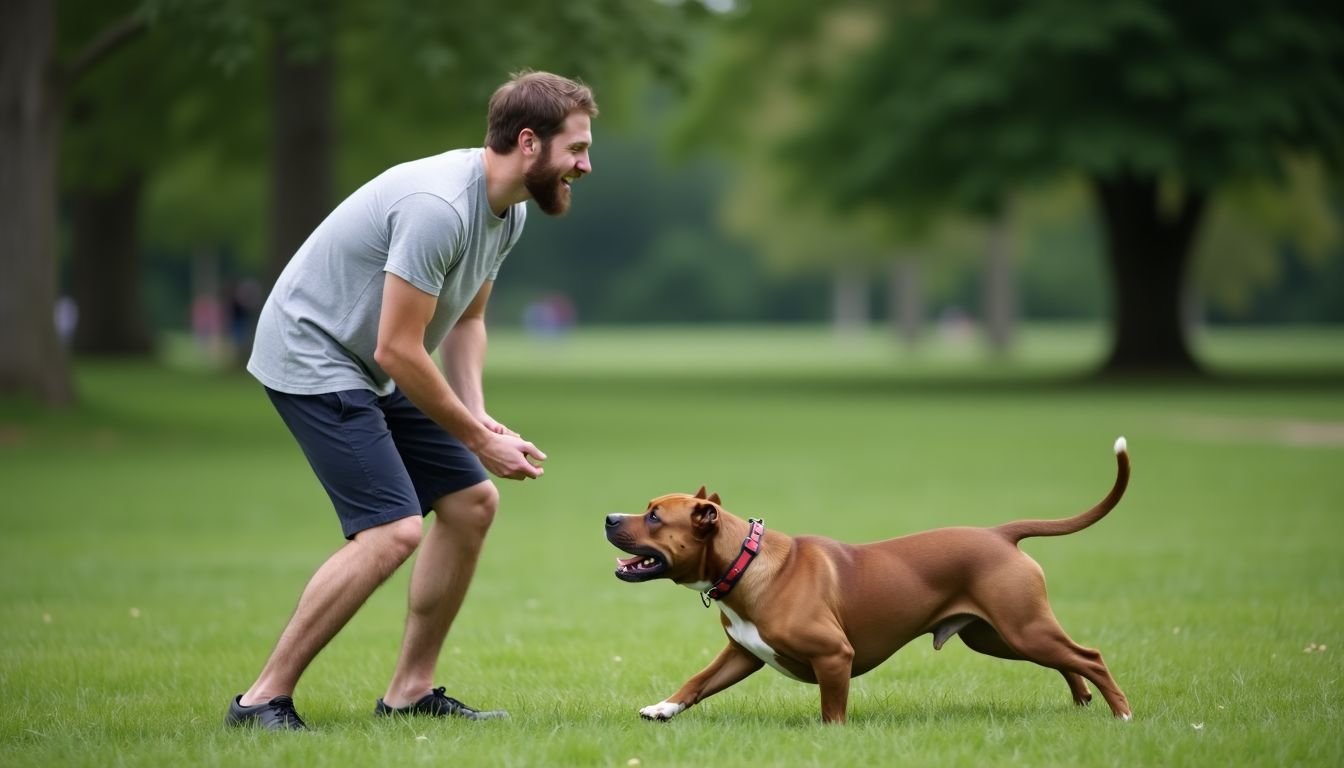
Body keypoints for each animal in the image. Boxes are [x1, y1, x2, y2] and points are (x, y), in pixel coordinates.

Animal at [610, 435, 1134, 726]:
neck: (745, 561)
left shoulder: (833, 656)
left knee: (1089, 656)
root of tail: (999, 534)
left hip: (1022, 629)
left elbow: (831, 711)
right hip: (999, 637)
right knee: (1069, 661)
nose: (609, 517)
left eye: (654, 517)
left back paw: (1122, 714)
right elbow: (697, 682)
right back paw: (1083, 700)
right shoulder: (743, 653)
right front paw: (662, 708)